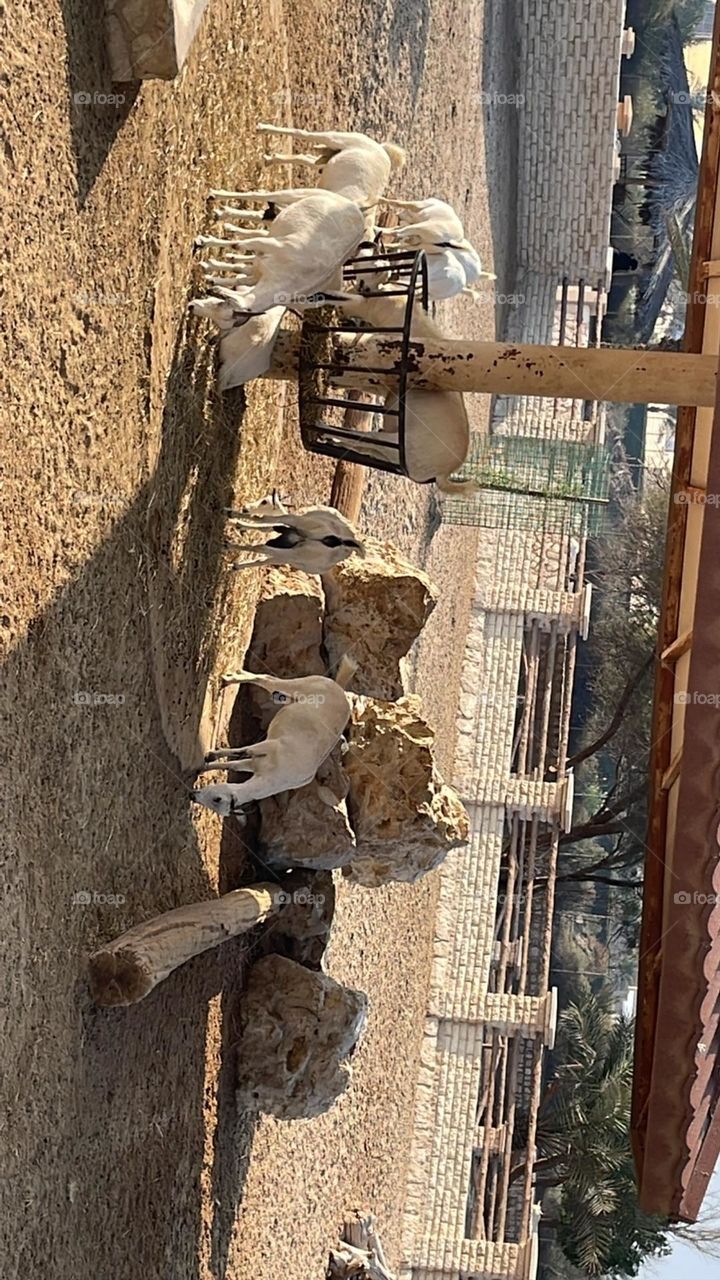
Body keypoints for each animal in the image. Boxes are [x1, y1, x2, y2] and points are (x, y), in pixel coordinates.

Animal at [189, 656, 357, 816]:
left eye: (217, 800)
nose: (193, 795)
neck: (276, 776)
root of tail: (339, 688)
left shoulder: (254, 764)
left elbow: (234, 764)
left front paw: (205, 765)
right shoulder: (268, 746)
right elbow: (243, 751)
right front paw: (210, 756)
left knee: (272, 685)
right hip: (299, 685)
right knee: (266, 679)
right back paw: (229, 678)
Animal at [223, 493, 366, 572]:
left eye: (264, 501)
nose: (245, 508)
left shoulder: (286, 525)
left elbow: (262, 522)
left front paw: (232, 517)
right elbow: (264, 532)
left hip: (295, 530)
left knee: (262, 545)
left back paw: (227, 544)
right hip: (292, 555)